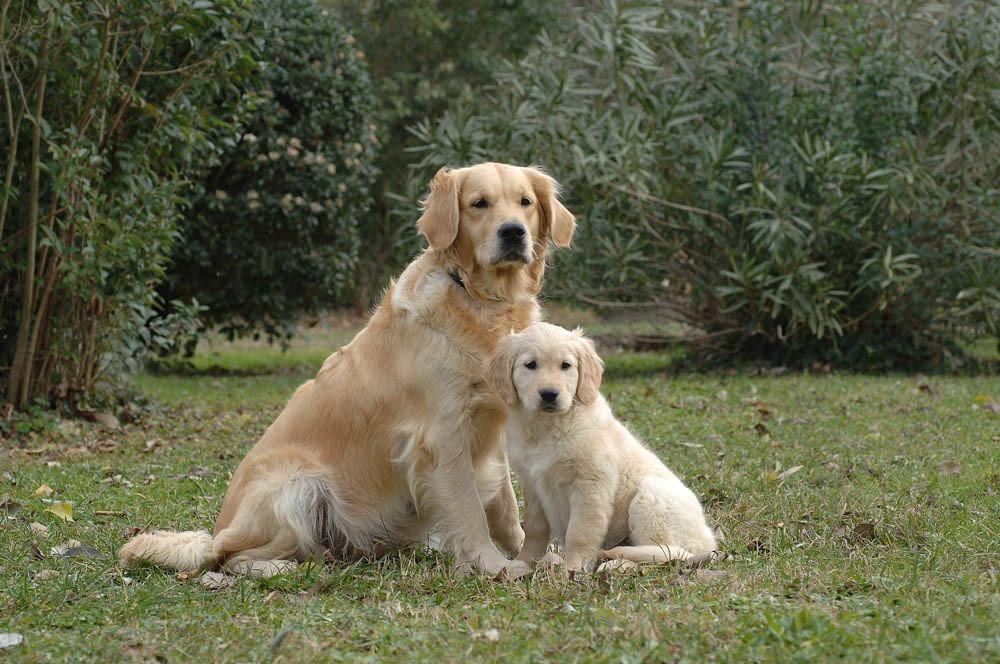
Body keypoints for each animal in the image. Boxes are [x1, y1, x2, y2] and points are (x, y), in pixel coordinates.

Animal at [122, 163, 580, 580]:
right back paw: (283, 568)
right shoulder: (443, 438)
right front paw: (493, 565)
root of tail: (219, 529)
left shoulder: (490, 430)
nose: (513, 232)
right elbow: (469, 509)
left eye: (525, 203)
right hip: (297, 486)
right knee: (231, 558)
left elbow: (505, 504)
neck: (482, 302)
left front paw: (533, 555)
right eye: (479, 203)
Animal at [486, 322, 716, 572]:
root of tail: (709, 543)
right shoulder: (533, 485)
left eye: (566, 365)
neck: (548, 428)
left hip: (650, 496)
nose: (549, 394)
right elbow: (534, 529)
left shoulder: (590, 484)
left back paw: (615, 563)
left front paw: (571, 568)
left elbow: (580, 531)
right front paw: (525, 562)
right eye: (530, 365)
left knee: (668, 553)